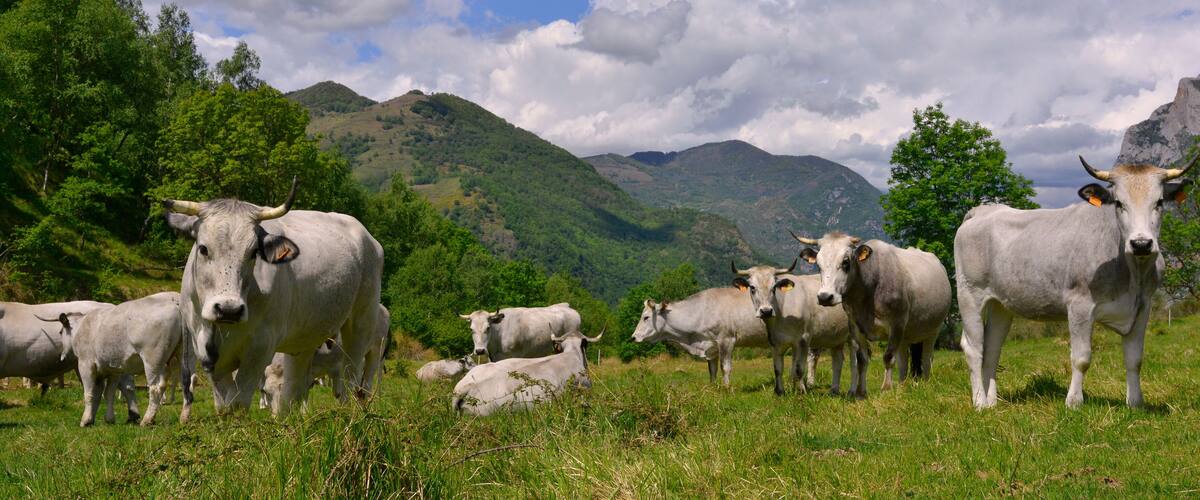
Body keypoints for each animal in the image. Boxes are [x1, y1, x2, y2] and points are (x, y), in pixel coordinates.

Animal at [47, 292, 188, 426]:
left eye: (60, 332)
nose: (62, 355)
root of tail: (174, 300)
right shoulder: (112, 369)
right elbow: (106, 393)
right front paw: (106, 418)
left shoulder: (85, 364)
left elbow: (89, 393)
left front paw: (85, 420)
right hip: (182, 355)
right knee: (186, 383)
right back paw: (184, 419)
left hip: (152, 360)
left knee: (155, 388)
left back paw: (147, 420)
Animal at [163, 178, 384, 416]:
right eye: (203, 248)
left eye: (253, 253)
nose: (229, 309)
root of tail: (367, 236)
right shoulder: (204, 346)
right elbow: (223, 405)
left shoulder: (261, 346)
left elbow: (238, 403)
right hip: (306, 335)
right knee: (295, 386)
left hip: (362, 320)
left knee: (354, 374)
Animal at [731, 262, 861, 395]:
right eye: (752, 288)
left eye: (774, 288)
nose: (766, 311)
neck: (782, 311)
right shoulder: (775, 342)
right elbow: (778, 368)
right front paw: (780, 391)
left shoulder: (803, 339)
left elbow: (798, 368)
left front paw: (801, 391)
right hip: (835, 337)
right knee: (837, 361)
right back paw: (834, 391)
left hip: (854, 335)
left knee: (855, 363)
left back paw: (852, 391)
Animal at [795, 232, 952, 397]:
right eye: (818, 265)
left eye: (846, 262)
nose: (825, 297)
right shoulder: (855, 327)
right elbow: (861, 360)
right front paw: (860, 392)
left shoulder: (896, 324)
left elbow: (888, 357)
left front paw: (886, 388)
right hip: (906, 335)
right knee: (904, 361)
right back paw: (902, 386)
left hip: (933, 330)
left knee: (926, 359)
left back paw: (925, 383)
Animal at [955, 155, 1195, 409]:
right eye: (1119, 203)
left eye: (1159, 202)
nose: (1141, 244)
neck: (1132, 273)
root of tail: (983, 210)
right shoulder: (1080, 305)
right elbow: (1081, 358)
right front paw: (1073, 402)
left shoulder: (1142, 306)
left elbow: (1135, 358)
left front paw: (1135, 402)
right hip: (969, 294)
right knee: (973, 348)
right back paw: (979, 402)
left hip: (1001, 303)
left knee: (992, 347)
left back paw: (992, 402)